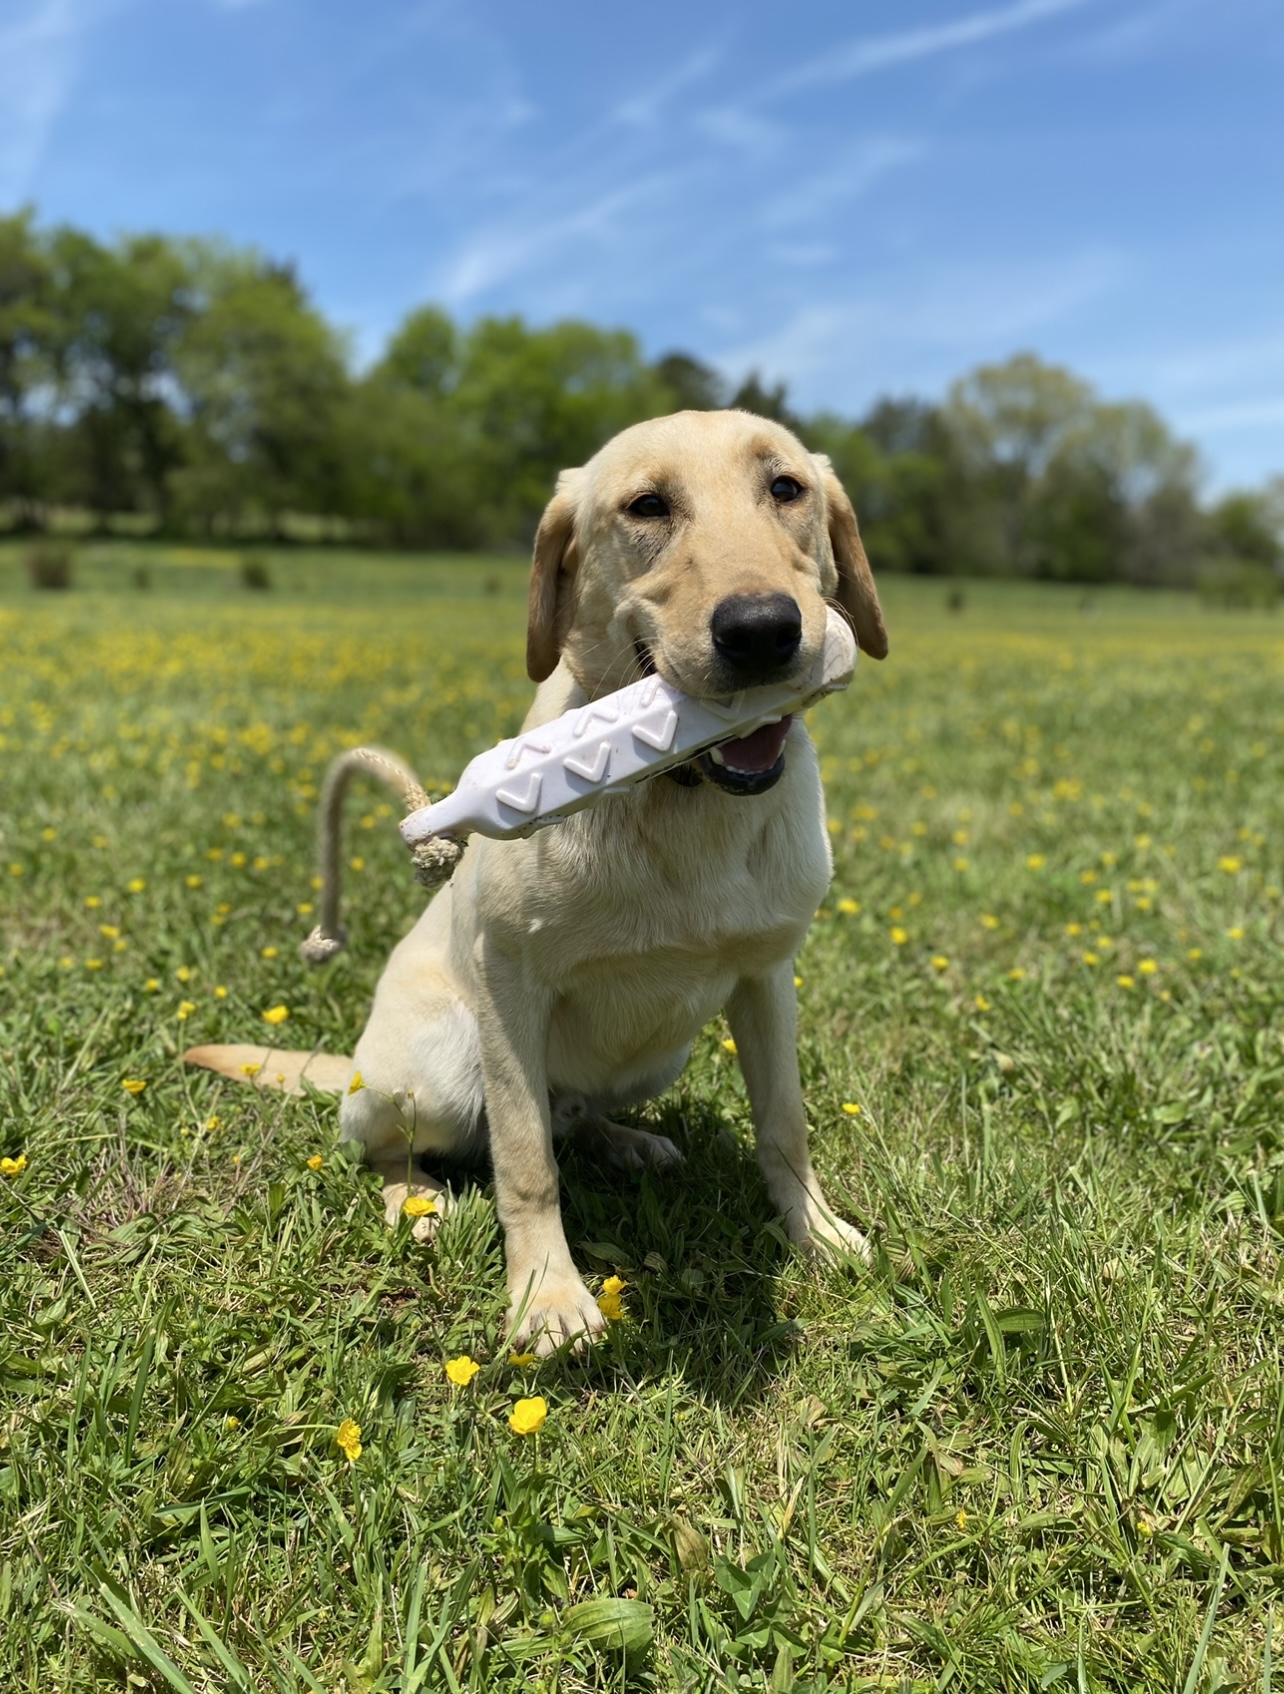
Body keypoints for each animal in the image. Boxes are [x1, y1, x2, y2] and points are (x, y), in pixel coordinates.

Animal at [186, 406, 887, 1348]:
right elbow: (524, 1161)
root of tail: (356, 1063)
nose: (762, 629)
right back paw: (417, 1200)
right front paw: (547, 1296)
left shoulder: (768, 975)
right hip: (442, 1071)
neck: (680, 796)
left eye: (786, 488)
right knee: (386, 1142)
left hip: (662, 1049)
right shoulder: (508, 980)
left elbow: (784, 1125)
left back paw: (626, 1140)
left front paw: (816, 1233)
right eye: (647, 505)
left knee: (577, 1114)